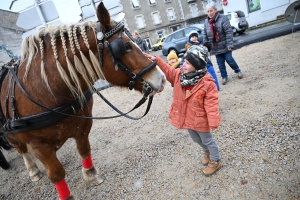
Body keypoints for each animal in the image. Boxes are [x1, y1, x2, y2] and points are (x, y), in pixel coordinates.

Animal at [0, 2, 165, 199]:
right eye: (125, 47)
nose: (161, 79)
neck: (48, 90)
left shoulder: (83, 126)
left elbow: (84, 150)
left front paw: (91, 175)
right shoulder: (39, 145)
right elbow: (56, 173)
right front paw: (66, 195)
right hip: (11, 134)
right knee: (21, 149)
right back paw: (32, 169)